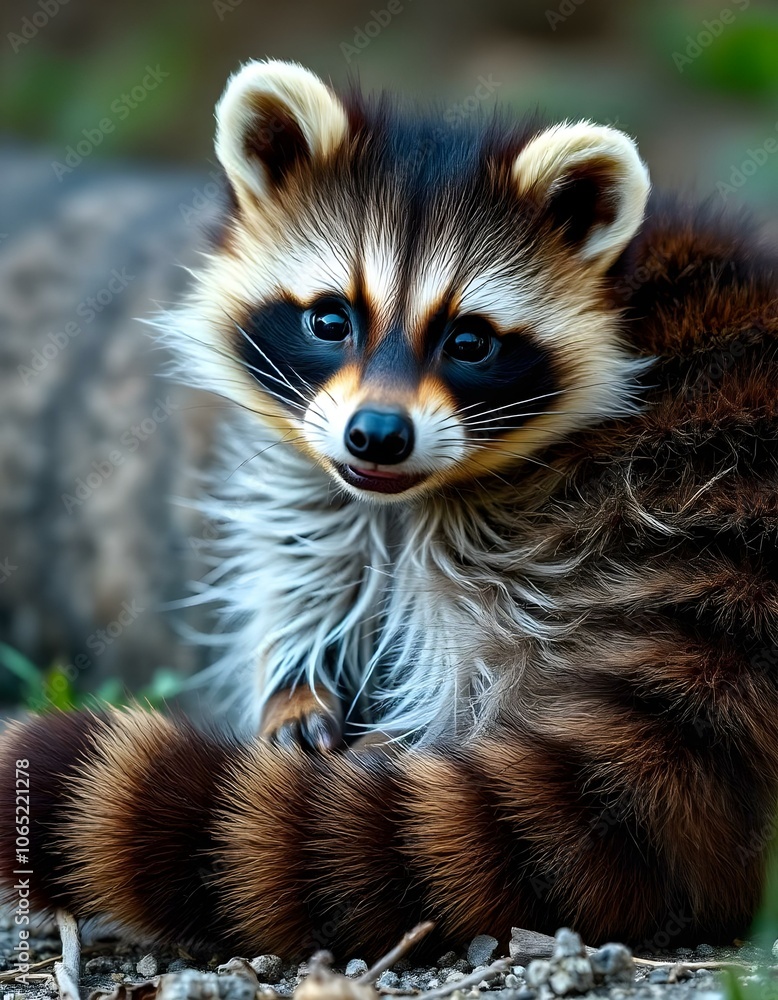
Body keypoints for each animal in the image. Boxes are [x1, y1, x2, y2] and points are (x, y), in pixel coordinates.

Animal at [2, 60, 778, 961]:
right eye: (330, 318)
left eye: (469, 341)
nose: (377, 434)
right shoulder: (316, 470)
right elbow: (302, 555)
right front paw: (295, 677)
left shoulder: (528, 499)